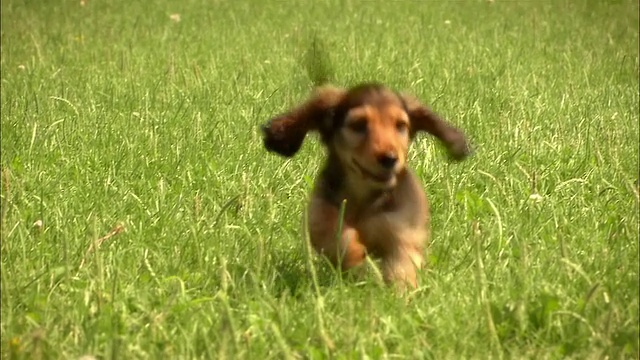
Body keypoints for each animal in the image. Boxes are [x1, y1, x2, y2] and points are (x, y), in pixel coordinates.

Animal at [260, 82, 470, 290]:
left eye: (400, 126)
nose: (389, 159)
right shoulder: (320, 214)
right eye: (359, 125)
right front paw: (358, 263)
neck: (364, 198)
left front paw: (400, 292)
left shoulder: (401, 229)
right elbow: (339, 235)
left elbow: (402, 262)